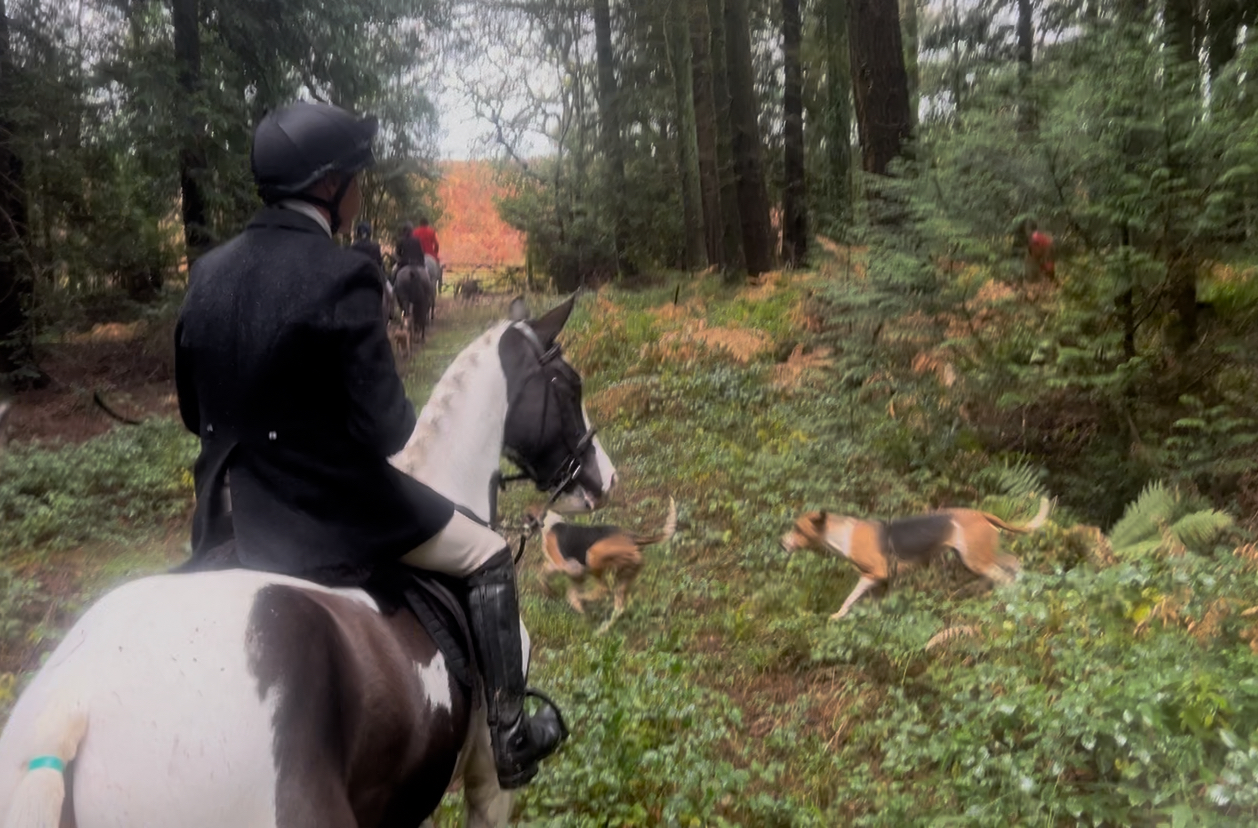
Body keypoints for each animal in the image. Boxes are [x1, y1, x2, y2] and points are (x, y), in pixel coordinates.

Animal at [532, 496, 677, 633]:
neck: (551, 523)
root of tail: (633, 537)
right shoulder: (559, 567)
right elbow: (544, 574)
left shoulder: (571, 567)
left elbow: (568, 588)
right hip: (625, 575)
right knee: (618, 607)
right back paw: (601, 629)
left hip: (593, 556)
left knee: (604, 589)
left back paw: (585, 600)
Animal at [780, 497, 1052, 619]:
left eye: (797, 529)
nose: (781, 543)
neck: (841, 533)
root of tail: (981, 514)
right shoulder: (882, 581)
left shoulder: (873, 574)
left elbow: (850, 597)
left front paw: (838, 615)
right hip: (982, 555)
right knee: (1014, 563)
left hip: (977, 560)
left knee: (1005, 578)